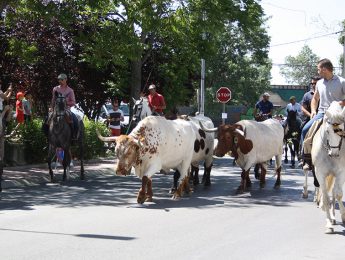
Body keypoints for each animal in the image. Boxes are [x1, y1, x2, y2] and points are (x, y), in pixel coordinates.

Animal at [306, 101, 345, 234]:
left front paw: (342, 216)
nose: (334, 153)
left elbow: (338, 194)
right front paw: (328, 224)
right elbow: (326, 198)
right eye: (327, 131)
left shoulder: (340, 172)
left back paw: (334, 217)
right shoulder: (320, 173)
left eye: (342, 130)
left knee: (334, 192)